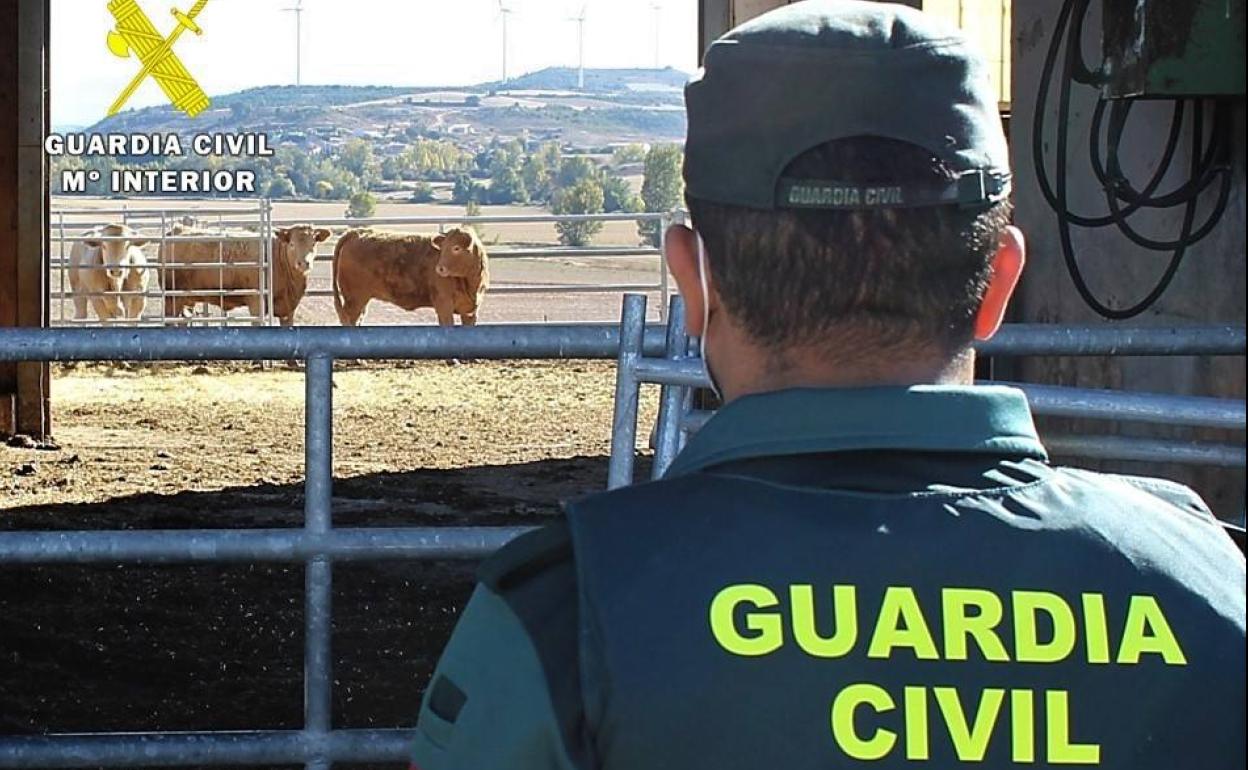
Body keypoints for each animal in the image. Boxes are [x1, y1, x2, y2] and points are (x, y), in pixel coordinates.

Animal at [160, 222, 331, 324]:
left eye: (313, 244)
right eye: (292, 244)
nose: (304, 263)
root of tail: (177, 229)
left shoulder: (288, 308)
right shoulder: (256, 301)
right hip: (172, 298)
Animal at [334, 227, 489, 326]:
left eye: (456, 248)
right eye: (442, 248)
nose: (439, 268)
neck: (469, 282)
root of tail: (357, 232)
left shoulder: (470, 311)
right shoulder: (444, 304)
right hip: (354, 298)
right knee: (350, 320)